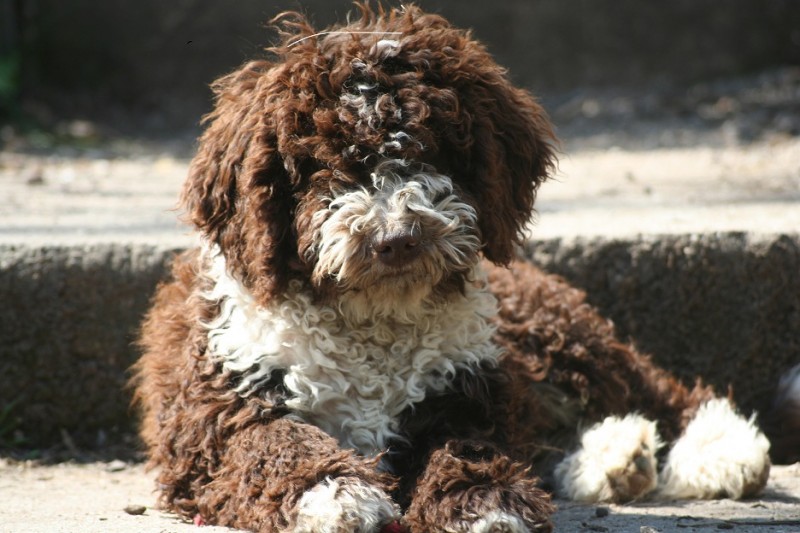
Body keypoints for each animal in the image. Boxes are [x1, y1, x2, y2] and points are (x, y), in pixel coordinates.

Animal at [134, 5, 772, 532]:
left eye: (430, 149)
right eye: (325, 166)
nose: (395, 240)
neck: (371, 322)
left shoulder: (468, 393)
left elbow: (468, 447)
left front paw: (483, 502)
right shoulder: (212, 419)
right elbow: (275, 440)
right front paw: (335, 494)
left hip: (552, 332)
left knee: (650, 388)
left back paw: (718, 450)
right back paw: (617, 460)